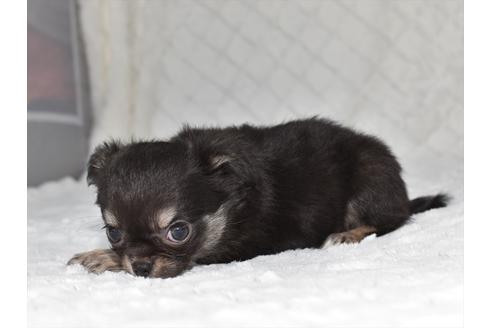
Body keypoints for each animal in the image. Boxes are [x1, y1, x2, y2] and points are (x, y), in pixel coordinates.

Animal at [67, 117, 448, 276]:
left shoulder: (240, 248)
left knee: (389, 221)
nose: (141, 268)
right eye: (113, 232)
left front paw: (101, 258)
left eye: (178, 231)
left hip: (370, 177)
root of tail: (403, 195)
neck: (232, 200)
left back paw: (346, 234)